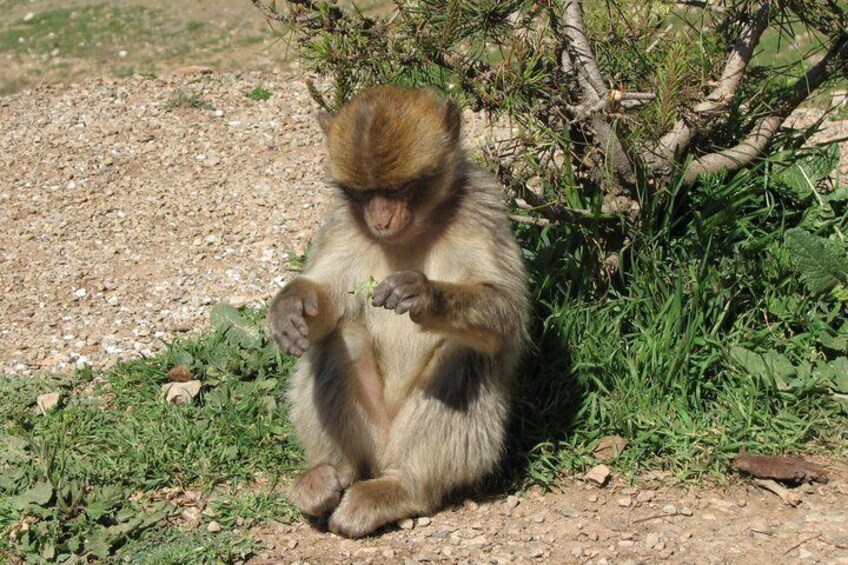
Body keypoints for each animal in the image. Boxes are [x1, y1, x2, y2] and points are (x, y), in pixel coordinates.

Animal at [267, 85, 529, 538]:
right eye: (364, 193)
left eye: (401, 188)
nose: (380, 220)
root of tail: (386, 455)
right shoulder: (342, 220)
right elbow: (328, 298)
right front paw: (290, 305)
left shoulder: (481, 209)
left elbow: (509, 313)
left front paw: (425, 295)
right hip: (372, 435)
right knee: (343, 338)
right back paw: (331, 471)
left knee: (463, 354)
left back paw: (404, 487)